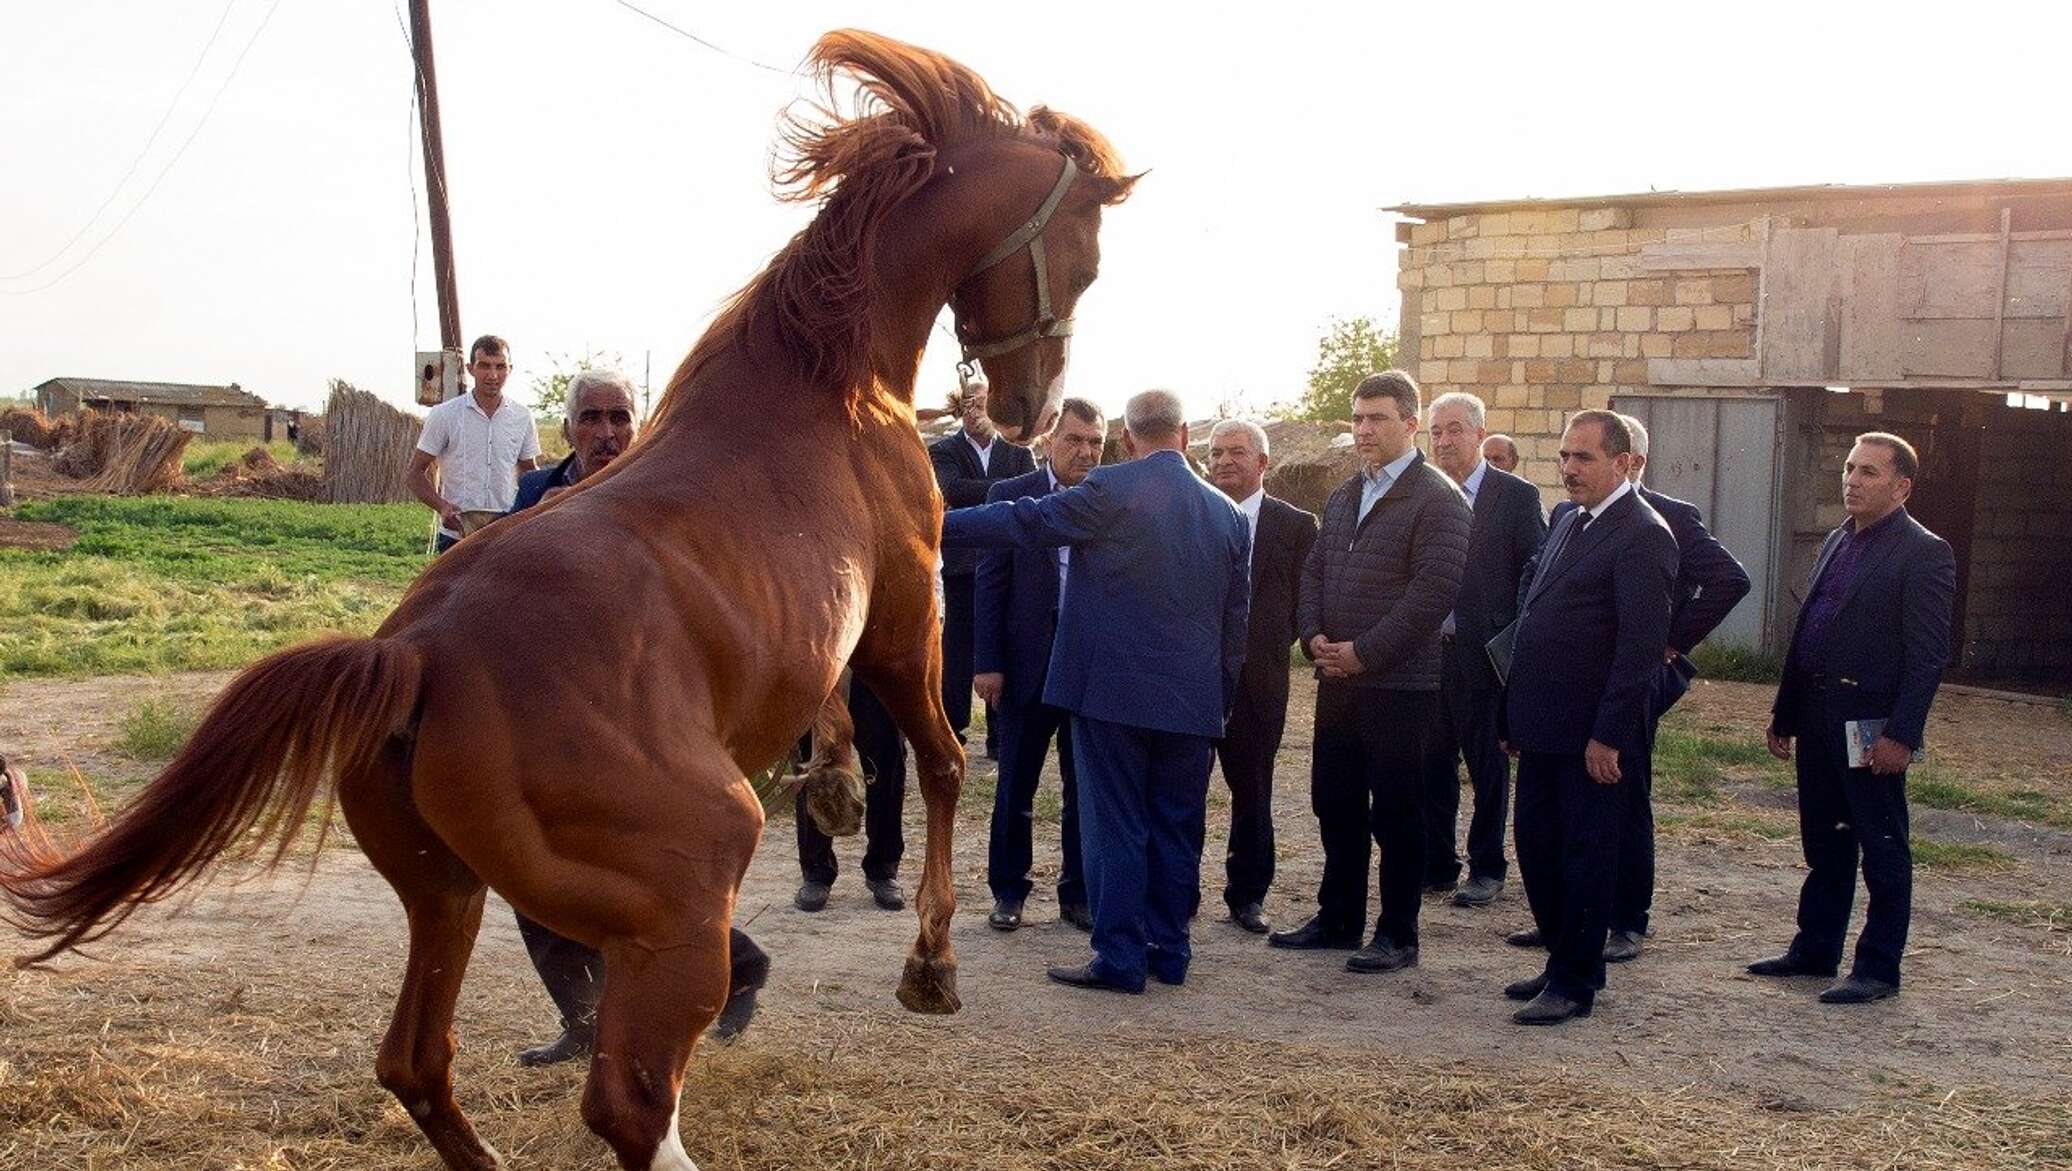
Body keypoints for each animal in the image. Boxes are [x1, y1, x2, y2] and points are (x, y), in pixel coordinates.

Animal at [0, 29, 1135, 1168]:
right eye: (1085, 248)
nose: (1032, 407)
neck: (828, 381)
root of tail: (415, 655)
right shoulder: (904, 613)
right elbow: (941, 762)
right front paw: (929, 963)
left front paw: (835, 787)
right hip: (687, 878)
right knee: (626, 1101)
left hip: (447, 891)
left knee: (418, 1060)